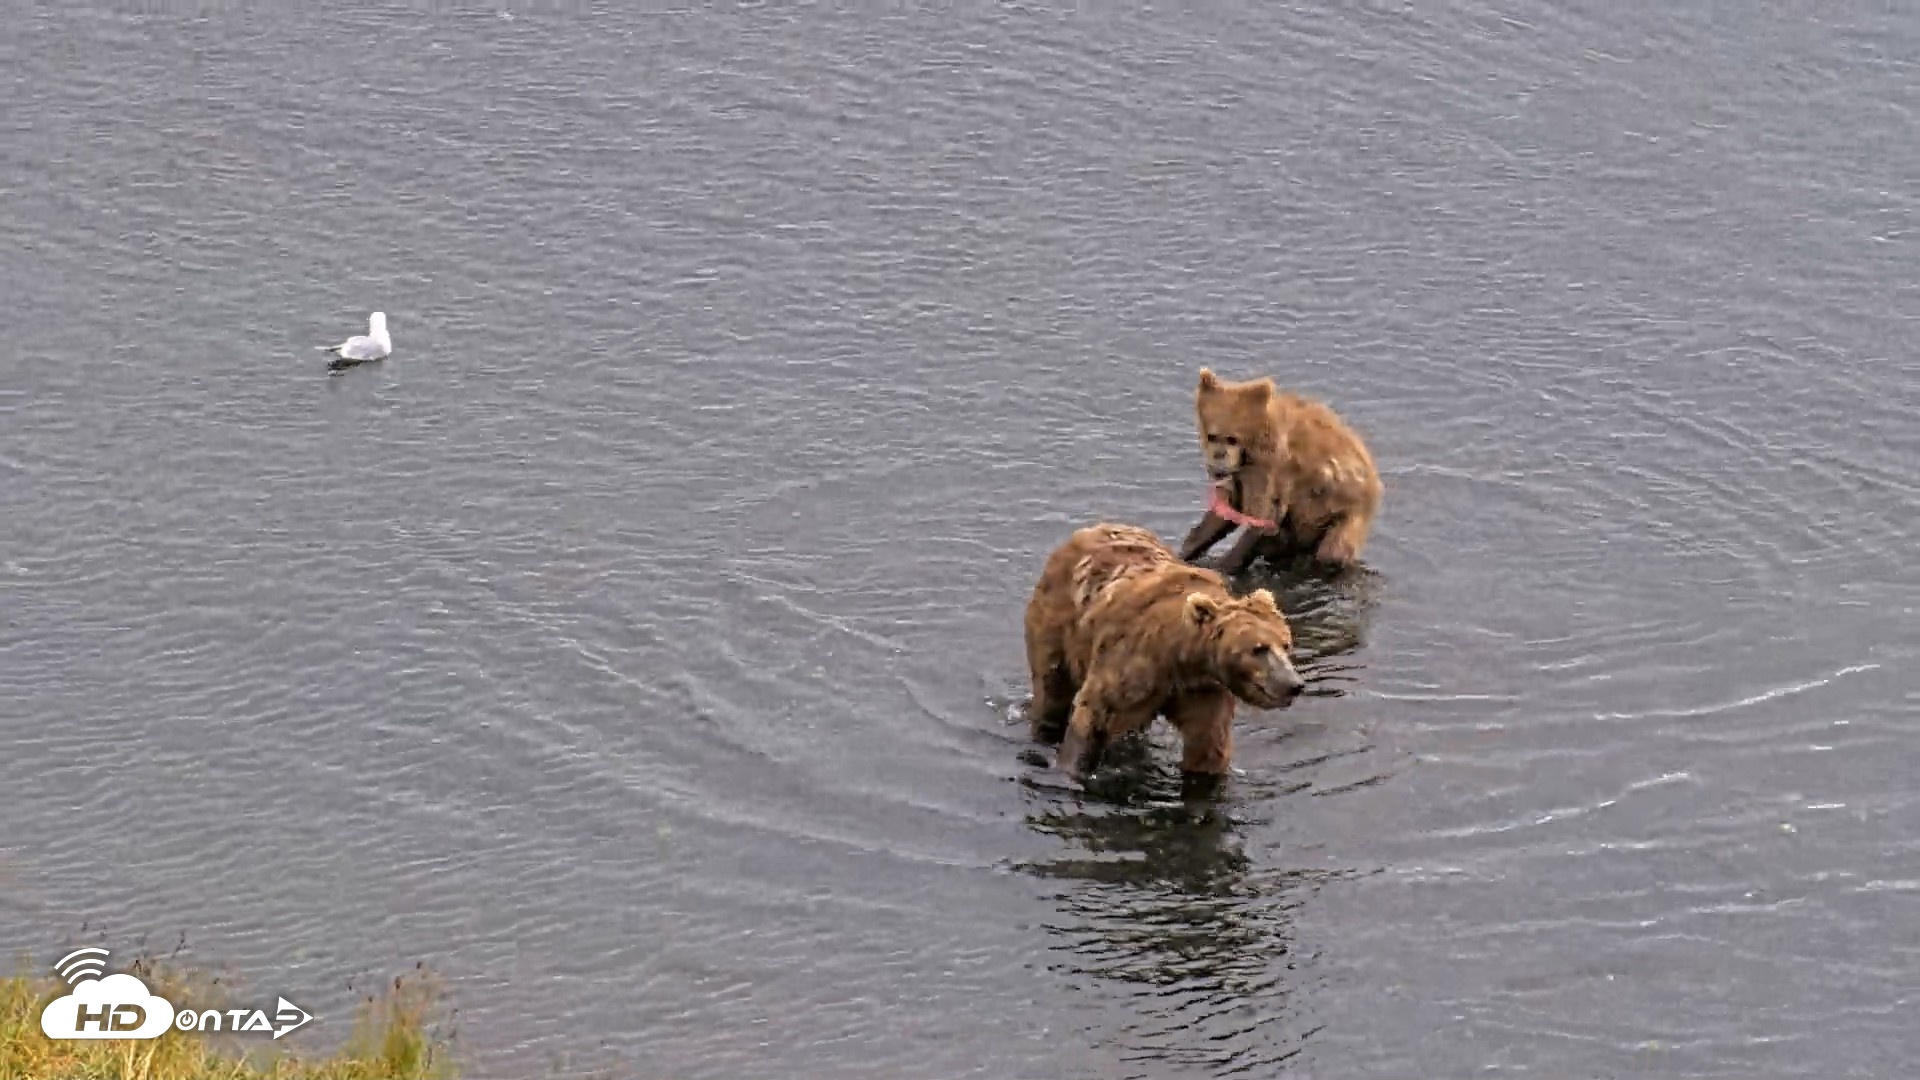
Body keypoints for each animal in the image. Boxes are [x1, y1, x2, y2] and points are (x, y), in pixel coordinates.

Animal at [1023, 522, 1306, 778]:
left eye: (1286, 644)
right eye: (1258, 649)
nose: (1294, 684)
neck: (1179, 655)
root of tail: (1088, 530)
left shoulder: (1202, 690)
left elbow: (1208, 745)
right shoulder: (1130, 665)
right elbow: (1093, 715)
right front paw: (1073, 766)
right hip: (1057, 623)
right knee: (1052, 687)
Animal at [1178, 367, 1382, 574]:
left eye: (1232, 439)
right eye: (1212, 436)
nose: (1217, 464)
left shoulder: (1271, 469)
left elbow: (1262, 514)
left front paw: (1223, 565)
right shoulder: (1240, 473)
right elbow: (1228, 509)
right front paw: (1188, 550)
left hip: (1343, 513)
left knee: (1332, 551)